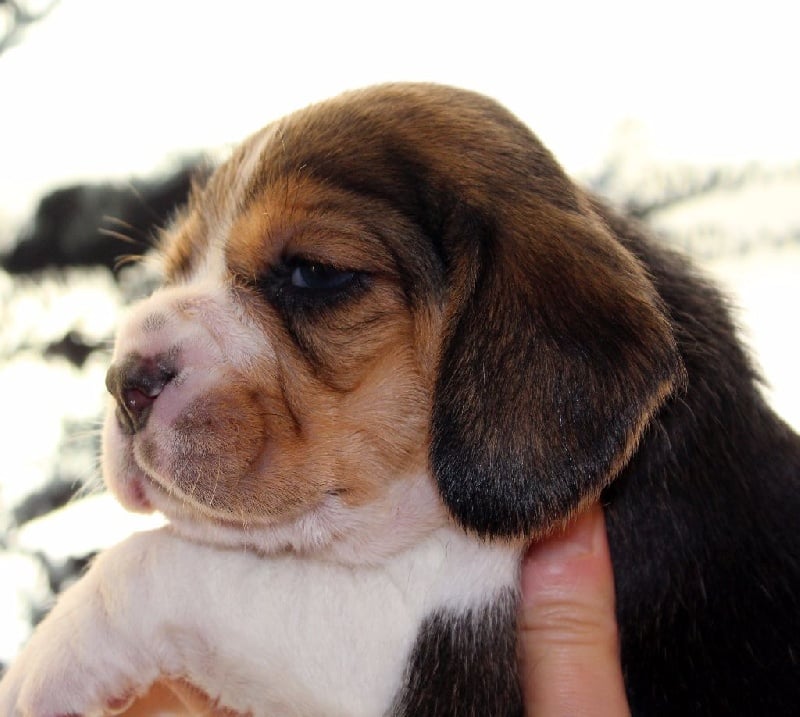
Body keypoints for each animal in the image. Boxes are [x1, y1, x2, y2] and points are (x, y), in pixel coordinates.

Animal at [1, 82, 800, 712]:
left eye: (314, 272)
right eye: (174, 271)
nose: (124, 380)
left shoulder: (417, 650)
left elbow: (175, 565)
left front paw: (40, 664)